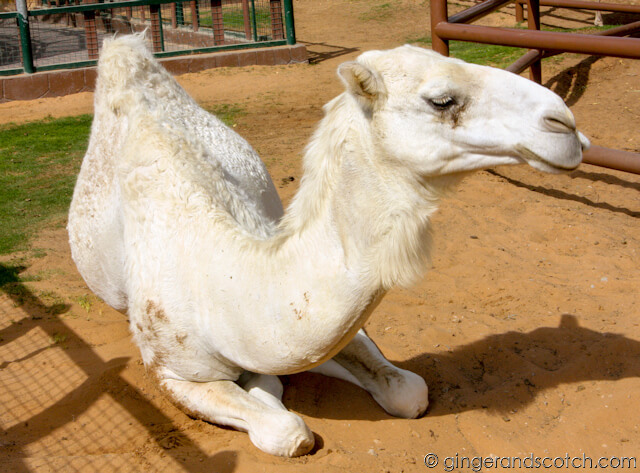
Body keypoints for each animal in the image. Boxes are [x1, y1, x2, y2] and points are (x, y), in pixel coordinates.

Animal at [68, 34, 589, 457]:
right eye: (442, 100)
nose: (565, 124)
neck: (223, 287)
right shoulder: (174, 373)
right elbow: (287, 431)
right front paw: (266, 394)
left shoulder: (328, 334)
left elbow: (408, 390)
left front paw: (268, 382)